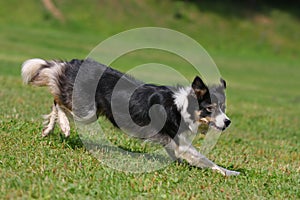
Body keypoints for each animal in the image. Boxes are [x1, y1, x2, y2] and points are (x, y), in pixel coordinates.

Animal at [21, 57, 239, 175]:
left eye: (223, 107)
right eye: (210, 108)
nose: (228, 122)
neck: (183, 106)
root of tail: (72, 63)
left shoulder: (174, 142)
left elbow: (179, 155)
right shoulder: (181, 142)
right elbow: (206, 160)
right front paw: (230, 172)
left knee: (56, 100)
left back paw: (48, 129)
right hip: (87, 111)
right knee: (58, 101)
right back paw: (64, 126)